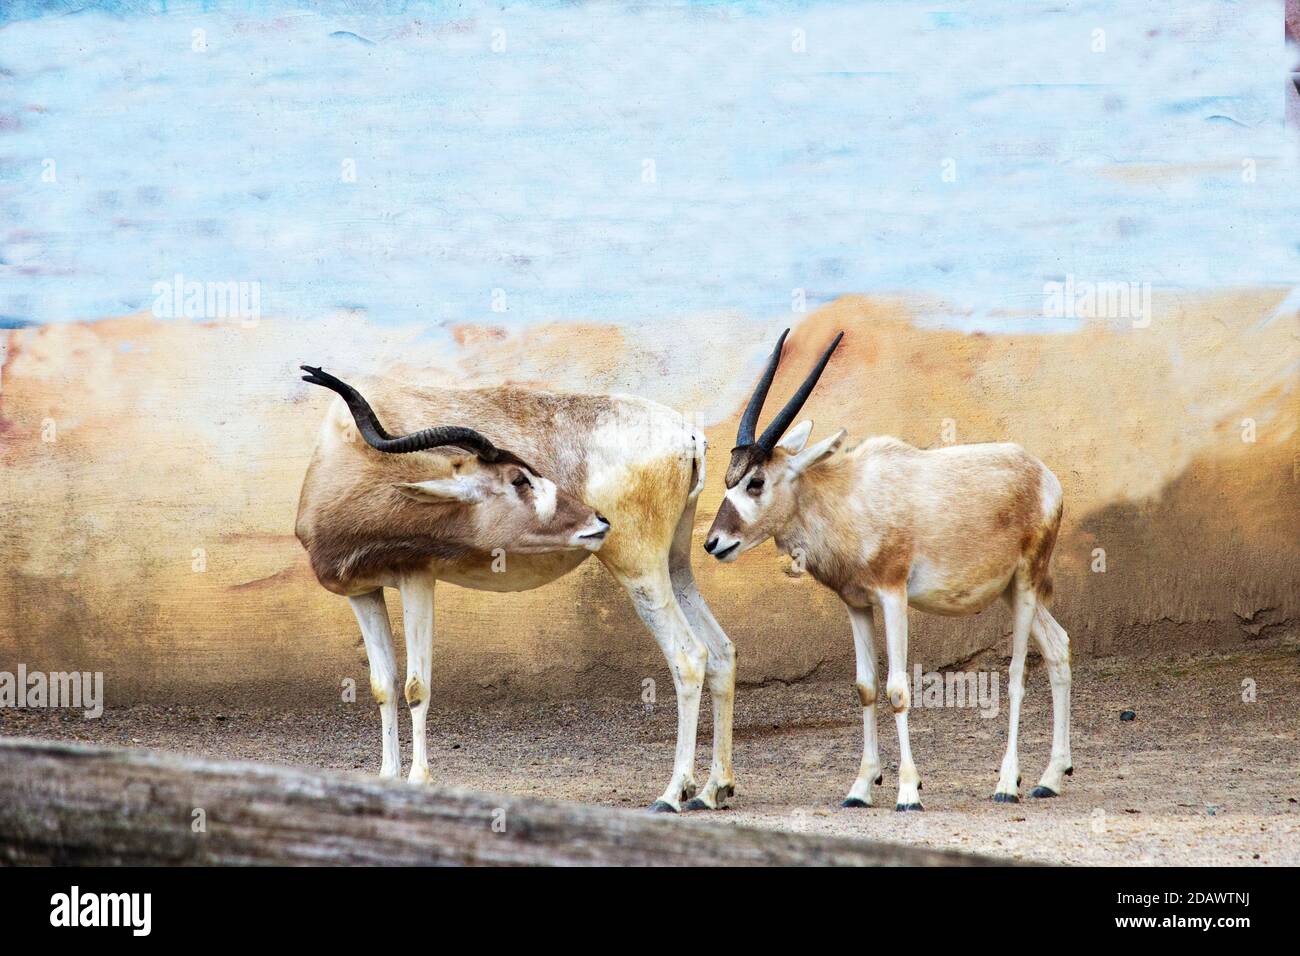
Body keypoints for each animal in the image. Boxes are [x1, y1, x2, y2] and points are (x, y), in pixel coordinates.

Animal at [297, 366, 738, 816]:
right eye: (518, 478)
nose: (596, 520)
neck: (351, 456)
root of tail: (688, 435)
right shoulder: (363, 590)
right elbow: (383, 685)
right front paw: (387, 779)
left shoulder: (417, 577)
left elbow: (416, 686)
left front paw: (419, 781)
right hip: (674, 566)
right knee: (720, 651)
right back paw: (712, 789)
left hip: (638, 567)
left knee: (689, 656)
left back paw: (671, 794)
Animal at [707, 332, 1071, 811]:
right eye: (729, 480)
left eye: (756, 482)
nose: (714, 543)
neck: (847, 497)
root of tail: (1044, 476)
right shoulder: (857, 604)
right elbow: (865, 686)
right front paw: (860, 788)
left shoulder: (893, 594)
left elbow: (898, 689)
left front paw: (908, 792)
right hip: (1009, 589)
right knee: (1058, 647)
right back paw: (1051, 777)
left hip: (1027, 582)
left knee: (1016, 673)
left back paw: (1008, 784)